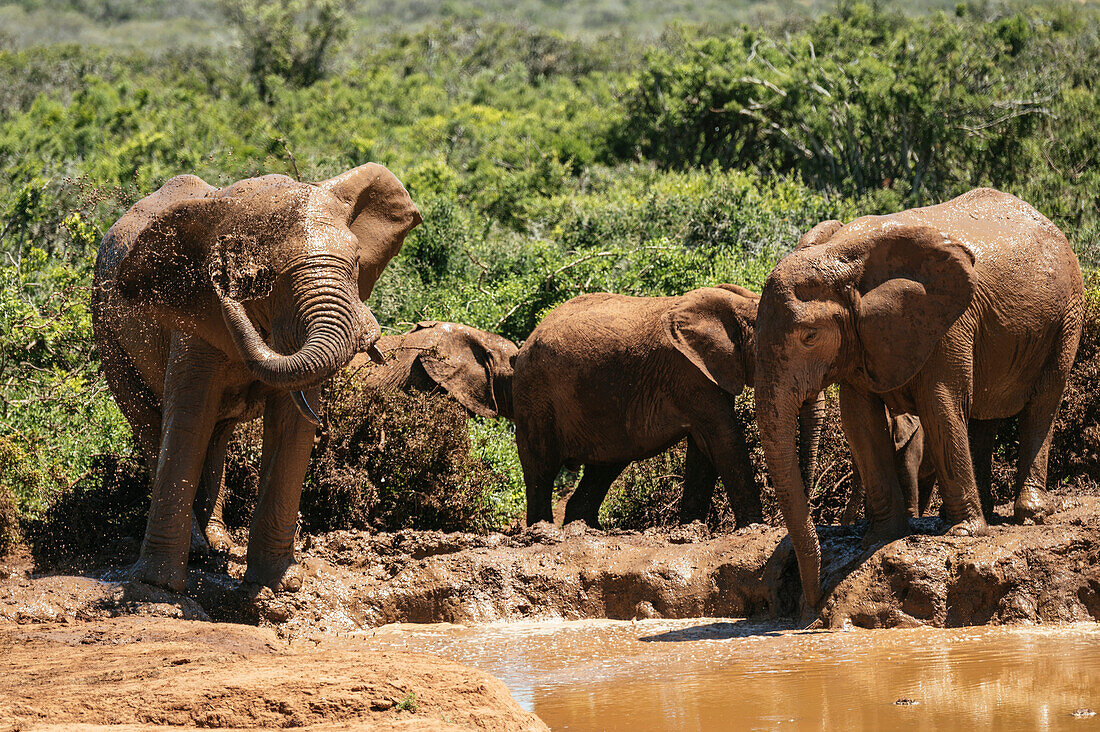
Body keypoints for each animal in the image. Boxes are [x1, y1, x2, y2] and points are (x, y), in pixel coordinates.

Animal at [93, 162, 420, 590]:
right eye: (264, 279)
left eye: (355, 262)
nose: (223, 274)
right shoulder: (192, 318)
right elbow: (187, 417)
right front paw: (156, 586)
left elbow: (291, 424)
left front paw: (280, 582)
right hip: (106, 329)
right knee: (150, 423)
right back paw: (200, 550)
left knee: (216, 433)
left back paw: (218, 544)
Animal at [514, 281, 827, 528]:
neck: (737, 306)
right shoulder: (690, 373)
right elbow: (725, 440)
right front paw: (753, 526)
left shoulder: (708, 372)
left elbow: (704, 450)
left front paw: (691, 527)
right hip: (535, 396)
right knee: (541, 470)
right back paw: (542, 530)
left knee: (603, 468)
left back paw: (585, 528)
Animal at [756, 187, 1082, 603]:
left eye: (809, 337)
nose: (811, 599)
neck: (844, 255)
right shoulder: (864, 339)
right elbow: (859, 421)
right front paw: (879, 537)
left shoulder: (948, 322)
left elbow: (940, 405)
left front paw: (963, 534)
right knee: (983, 418)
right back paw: (981, 513)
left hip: (1068, 312)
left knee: (1043, 402)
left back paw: (1030, 514)